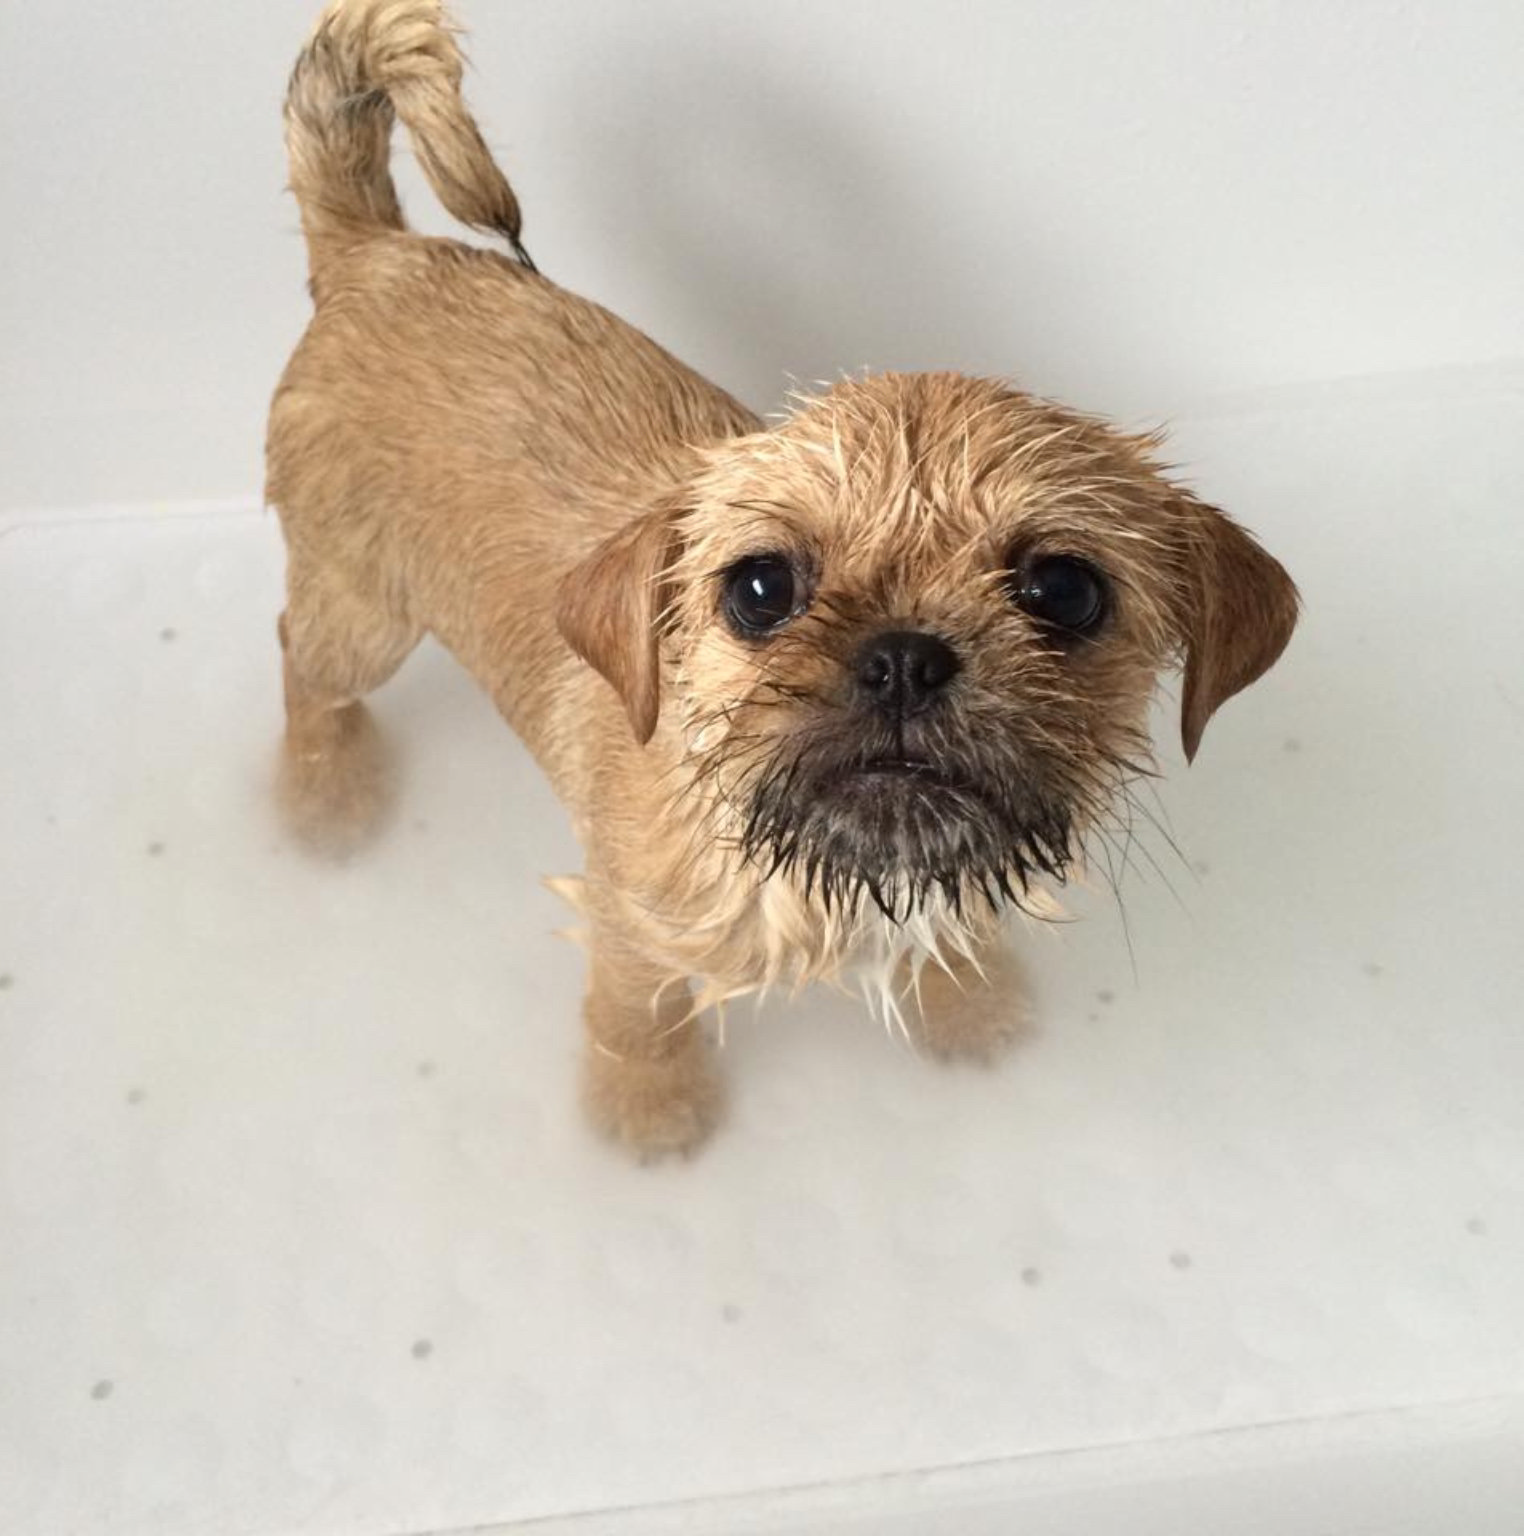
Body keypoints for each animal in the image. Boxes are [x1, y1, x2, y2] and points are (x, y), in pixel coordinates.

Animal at [267, 0, 1290, 1155]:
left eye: (1066, 591)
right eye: (761, 589)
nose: (903, 657)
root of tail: (374, 252)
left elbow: (952, 941)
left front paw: (968, 1006)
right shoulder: (631, 923)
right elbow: (636, 1012)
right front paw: (649, 1106)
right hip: (363, 615)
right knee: (304, 665)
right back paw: (325, 796)